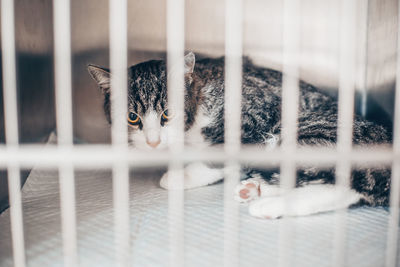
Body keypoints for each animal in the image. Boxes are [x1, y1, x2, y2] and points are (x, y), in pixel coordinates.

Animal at [87, 52, 390, 220]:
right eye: (132, 117)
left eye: (168, 113)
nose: (153, 141)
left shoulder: (256, 120)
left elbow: (222, 155)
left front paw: (184, 175)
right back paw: (255, 190)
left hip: (305, 130)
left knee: (347, 184)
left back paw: (268, 202)